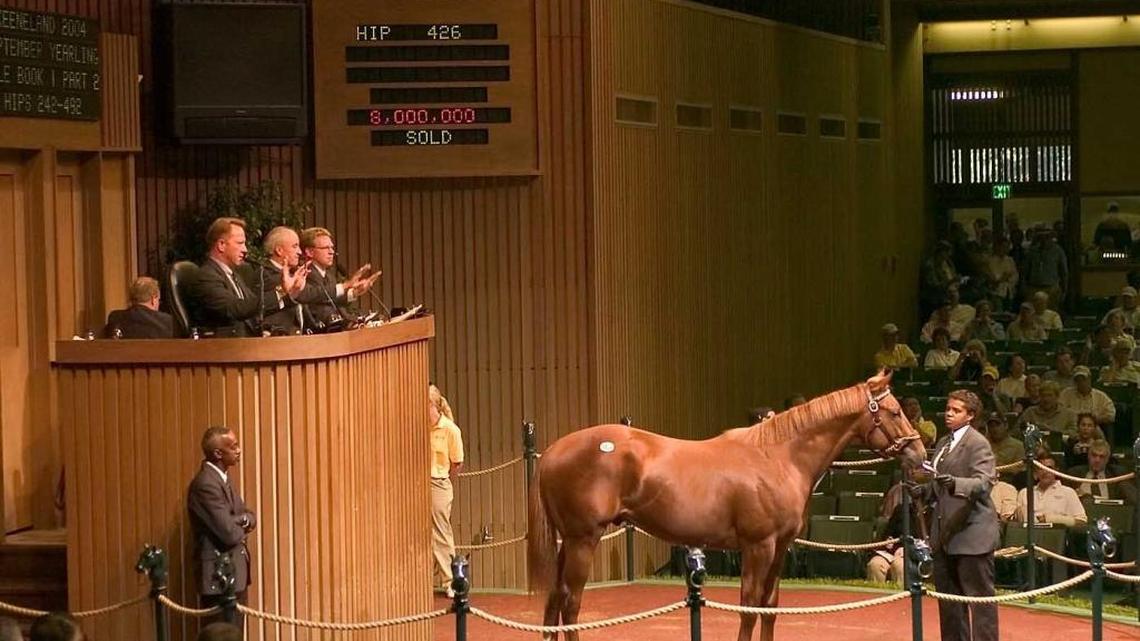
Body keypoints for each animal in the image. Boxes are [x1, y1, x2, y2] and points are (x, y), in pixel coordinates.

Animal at [527, 371, 925, 641]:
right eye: (893, 412)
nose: (920, 454)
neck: (778, 457)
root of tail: (552, 452)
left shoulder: (780, 547)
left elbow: (769, 607)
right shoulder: (758, 546)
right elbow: (748, 607)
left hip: (567, 542)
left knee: (554, 601)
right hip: (582, 541)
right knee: (571, 604)